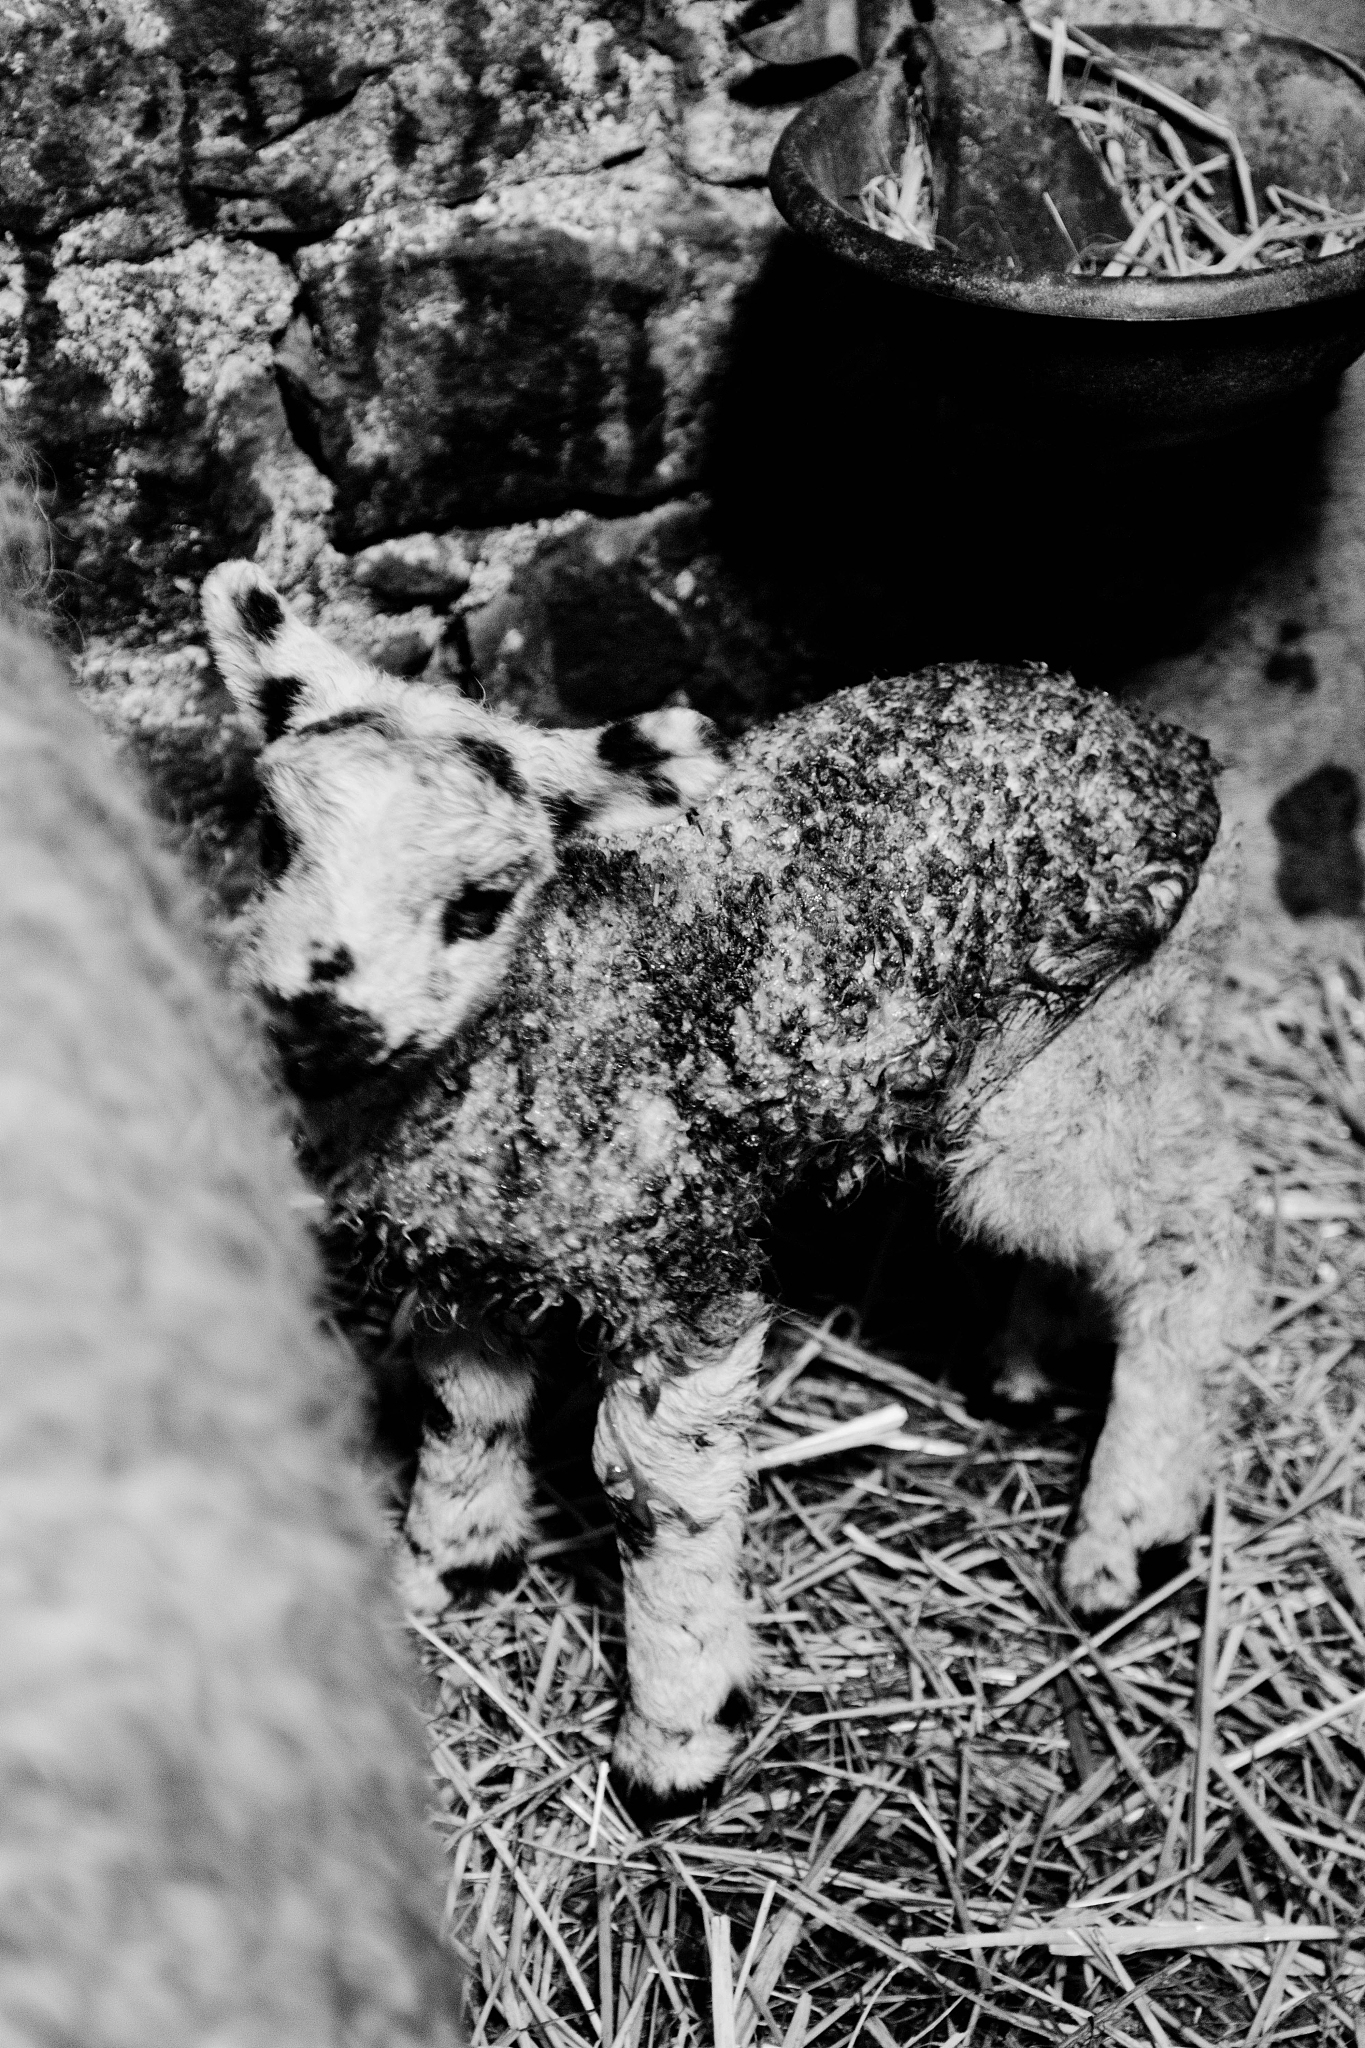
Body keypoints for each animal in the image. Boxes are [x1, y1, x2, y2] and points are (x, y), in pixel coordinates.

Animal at [203, 557, 1251, 1812]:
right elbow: (464, 1405)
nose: (317, 1016)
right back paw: (1027, 1366)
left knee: (1193, 1237)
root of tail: (1167, 747)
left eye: (481, 901)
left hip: (1082, 1052)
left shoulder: (684, 1266)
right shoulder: (466, 1252)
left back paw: (1129, 1525)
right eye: (275, 842)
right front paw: (443, 1567)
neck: (550, 1000)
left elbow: (656, 1487)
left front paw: (674, 1733)